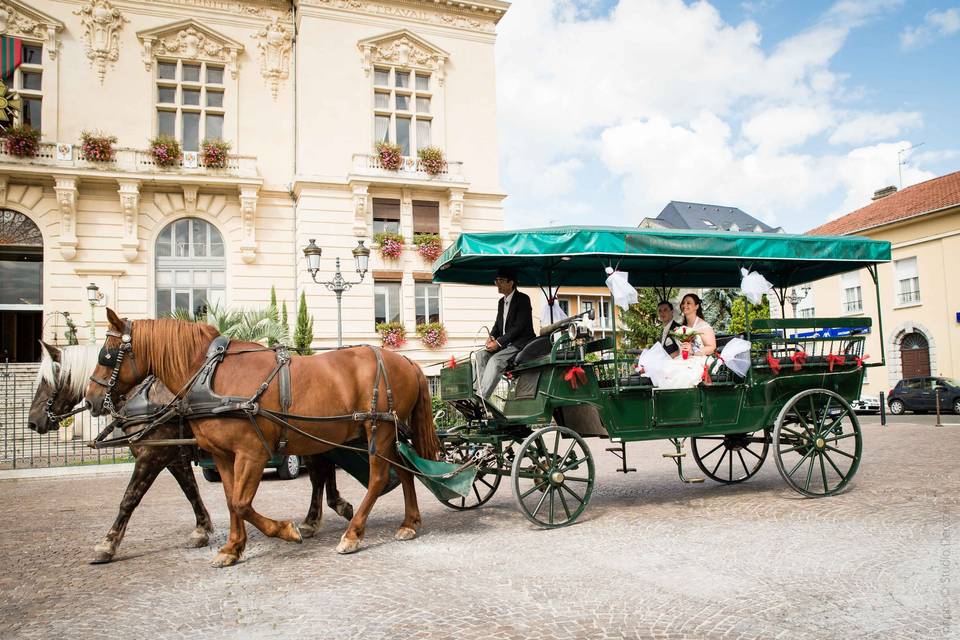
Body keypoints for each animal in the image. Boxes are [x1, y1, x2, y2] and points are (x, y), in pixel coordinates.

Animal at [31, 342, 352, 564]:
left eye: (47, 382)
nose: (33, 421)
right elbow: (190, 490)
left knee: (319, 473)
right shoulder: (172, 455)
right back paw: (324, 513)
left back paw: (320, 515)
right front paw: (202, 528)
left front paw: (107, 544)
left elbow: (130, 498)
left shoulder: (152, 455)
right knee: (321, 472)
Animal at [86, 310, 438, 564]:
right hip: (387, 431)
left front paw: (285, 530)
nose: (90, 399)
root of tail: (405, 360)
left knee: (378, 477)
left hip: (378, 428)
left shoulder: (249, 453)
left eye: (106, 355)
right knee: (405, 471)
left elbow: (241, 503)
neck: (209, 376)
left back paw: (353, 534)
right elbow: (231, 500)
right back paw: (408, 523)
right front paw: (232, 547)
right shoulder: (221, 455)